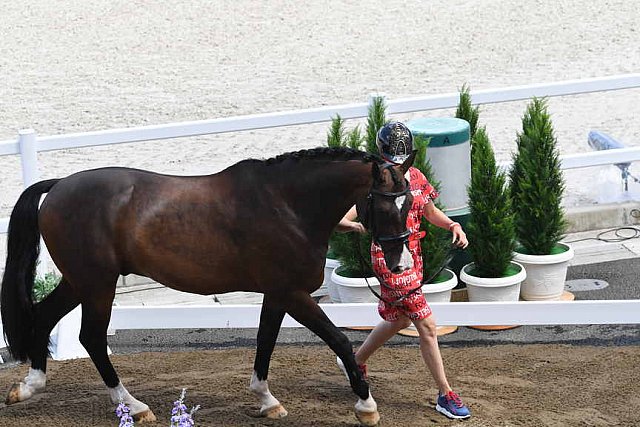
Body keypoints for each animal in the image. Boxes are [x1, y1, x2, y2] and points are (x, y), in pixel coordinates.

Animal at [1, 146, 416, 424]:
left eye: (409, 201)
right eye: (383, 205)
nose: (401, 263)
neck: (287, 206)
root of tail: (58, 186)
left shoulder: (277, 294)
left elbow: (265, 342)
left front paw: (267, 401)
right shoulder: (294, 294)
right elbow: (340, 340)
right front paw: (366, 406)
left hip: (80, 282)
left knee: (44, 317)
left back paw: (29, 386)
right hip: (97, 284)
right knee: (90, 337)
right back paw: (135, 406)